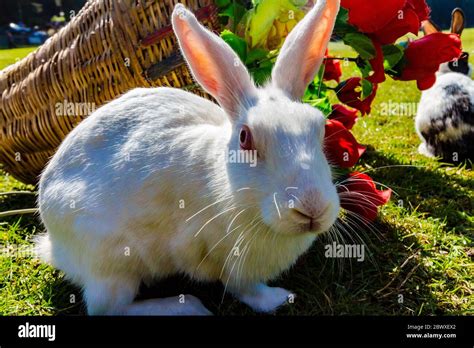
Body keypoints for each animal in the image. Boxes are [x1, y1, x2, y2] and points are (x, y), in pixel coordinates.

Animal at [36, 0, 340, 316]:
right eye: (245, 137)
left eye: (320, 127)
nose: (312, 208)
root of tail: (54, 246)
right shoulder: (227, 260)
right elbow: (244, 288)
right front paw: (277, 298)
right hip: (111, 263)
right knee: (108, 308)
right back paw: (189, 306)